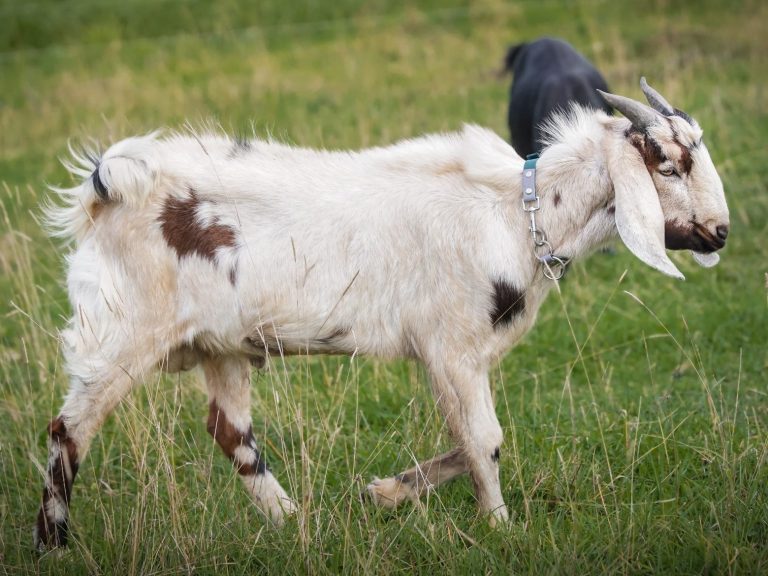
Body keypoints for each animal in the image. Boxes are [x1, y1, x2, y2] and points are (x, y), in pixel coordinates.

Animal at [35, 78, 729, 548]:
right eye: (667, 164)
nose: (720, 232)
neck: (515, 212)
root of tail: (105, 188)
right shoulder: (452, 347)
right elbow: (485, 439)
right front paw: (501, 528)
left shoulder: (448, 357)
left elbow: (467, 439)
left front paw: (385, 493)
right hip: (122, 333)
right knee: (71, 430)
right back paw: (54, 545)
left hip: (222, 344)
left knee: (230, 432)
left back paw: (294, 521)